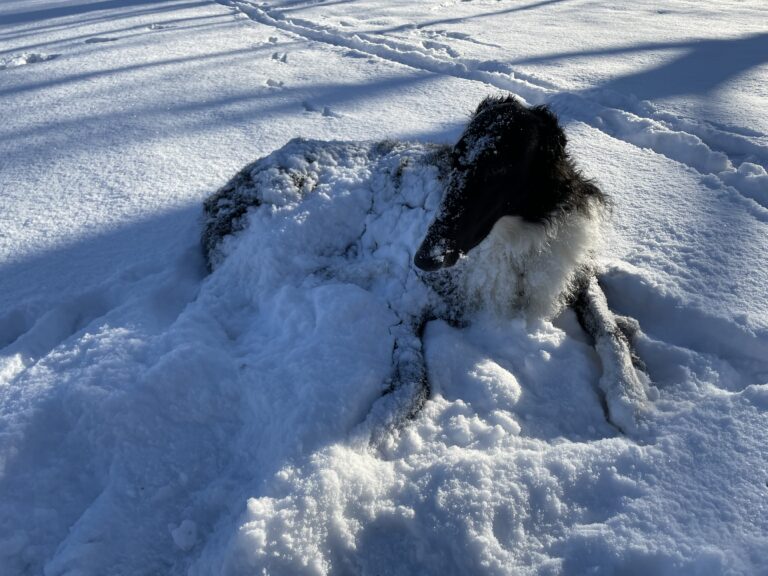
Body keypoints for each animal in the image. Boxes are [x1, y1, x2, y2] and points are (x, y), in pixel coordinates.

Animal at [202, 95, 648, 436]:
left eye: (500, 167)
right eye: (457, 159)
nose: (424, 257)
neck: (518, 241)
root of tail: (222, 192)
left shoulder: (575, 273)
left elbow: (608, 330)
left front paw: (632, 401)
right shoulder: (408, 300)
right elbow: (411, 381)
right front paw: (364, 442)